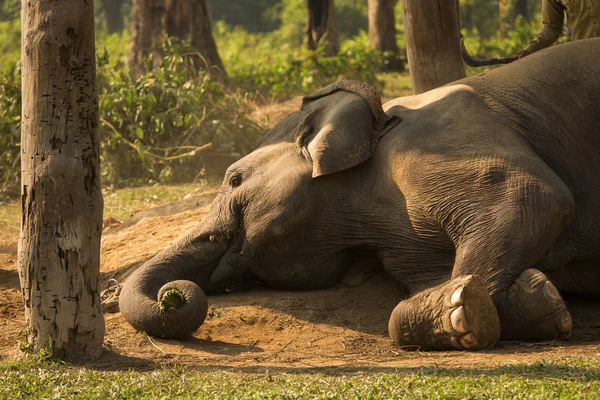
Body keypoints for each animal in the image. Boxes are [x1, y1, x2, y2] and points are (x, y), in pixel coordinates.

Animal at [119, 37, 600, 350]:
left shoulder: (435, 143)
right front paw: (542, 299)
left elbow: (534, 196)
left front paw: (465, 306)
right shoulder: (402, 247)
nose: (172, 295)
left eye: (235, 180)